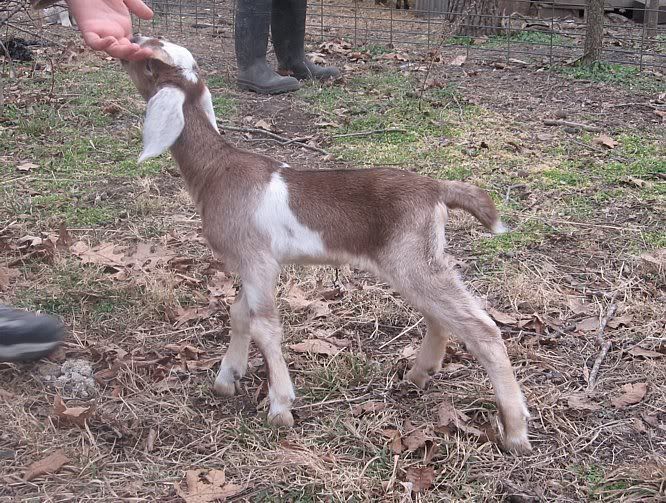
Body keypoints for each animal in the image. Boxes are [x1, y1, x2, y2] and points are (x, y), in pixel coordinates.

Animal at [121, 37, 531, 454]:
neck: (216, 170)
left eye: (150, 63)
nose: (130, 43)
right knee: (440, 316)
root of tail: (437, 189)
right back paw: (420, 373)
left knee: (481, 328)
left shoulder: (257, 260)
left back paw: (515, 430)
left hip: (411, 259)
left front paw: (280, 406)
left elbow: (264, 325)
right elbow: (239, 314)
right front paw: (227, 378)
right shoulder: (250, 263)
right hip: (417, 259)